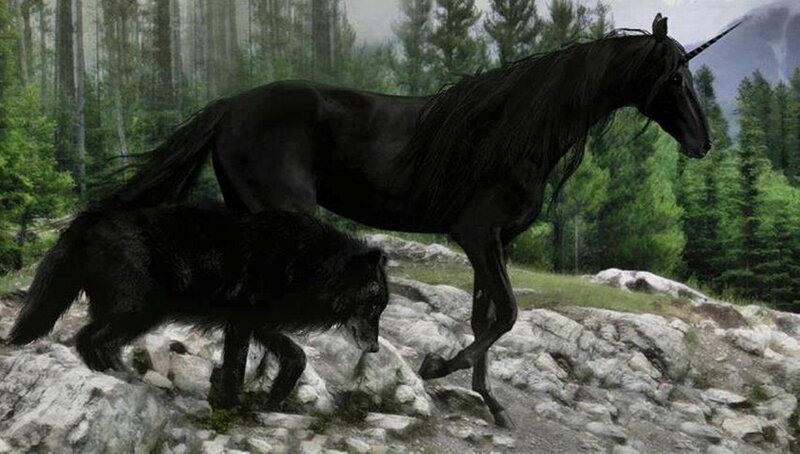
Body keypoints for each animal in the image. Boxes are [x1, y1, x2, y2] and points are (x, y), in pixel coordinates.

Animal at [8, 205, 389, 409]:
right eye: (373, 306)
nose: (374, 348)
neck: (308, 263)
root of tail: (88, 219)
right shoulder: (244, 322)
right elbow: (236, 367)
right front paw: (235, 405)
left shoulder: (258, 324)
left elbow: (296, 356)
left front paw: (273, 398)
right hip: (140, 312)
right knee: (89, 338)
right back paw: (118, 375)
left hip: (127, 313)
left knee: (91, 338)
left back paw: (119, 373)